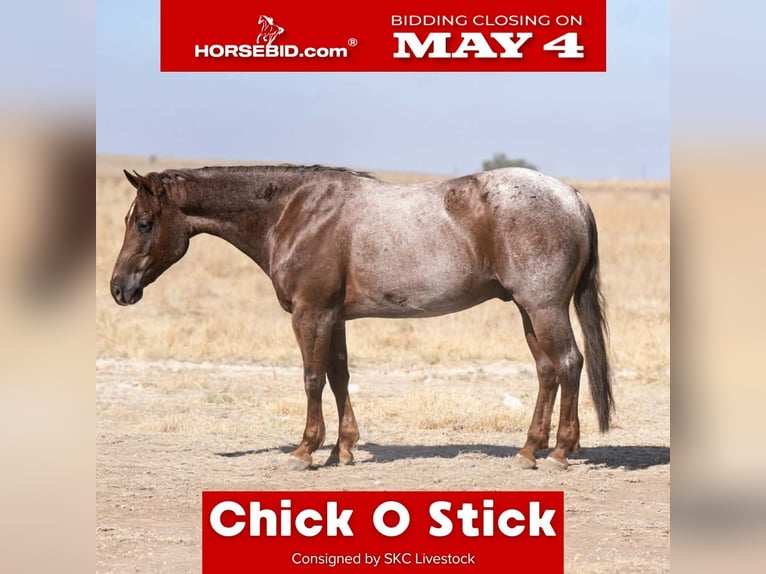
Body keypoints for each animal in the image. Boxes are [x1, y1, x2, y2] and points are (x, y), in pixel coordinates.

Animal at [110, 165, 614, 471]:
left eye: (144, 223)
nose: (118, 288)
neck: (293, 213)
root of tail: (572, 196)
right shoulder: (334, 317)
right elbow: (339, 376)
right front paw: (344, 449)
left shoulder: (311, 314)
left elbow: (312, 378)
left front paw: (305, 450)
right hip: (529, 311)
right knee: (548, 371)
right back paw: (529, 450)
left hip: (543, 307)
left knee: (568, 364)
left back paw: (559, 452)